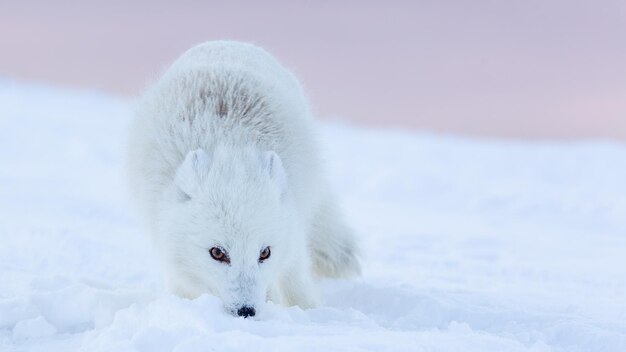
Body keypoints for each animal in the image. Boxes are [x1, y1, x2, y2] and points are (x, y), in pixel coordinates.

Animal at [126, 40, 358, 316]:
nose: (247, 311)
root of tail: (225, 42)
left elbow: (294, 279)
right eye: (217, 253)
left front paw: (307, 312)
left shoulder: (294, 229)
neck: (230, 146)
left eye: (265, 252)